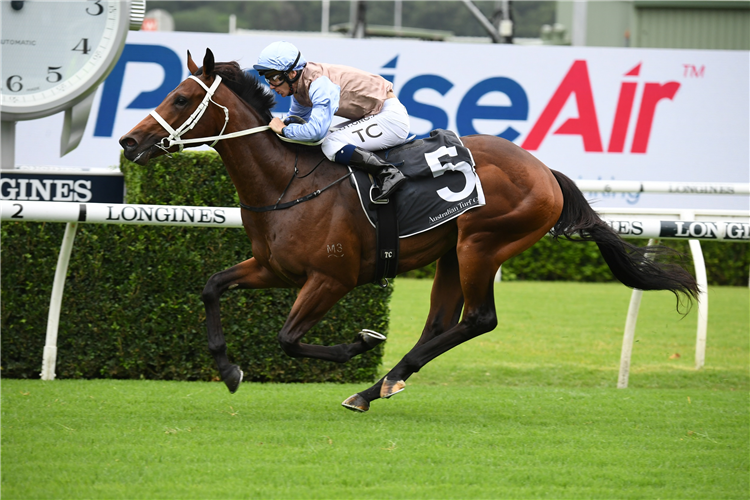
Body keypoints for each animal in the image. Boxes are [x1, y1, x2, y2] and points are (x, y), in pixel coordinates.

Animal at [120, 48, 704, 412]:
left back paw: (375, 383)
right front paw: (227, 369)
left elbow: (288, 339)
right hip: (452, 252)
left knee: (479, 320)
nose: (128, 142)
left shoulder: (331, 279)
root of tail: (546, 172)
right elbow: (211, 286)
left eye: (179, 98)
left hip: (482, 245)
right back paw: (380, 385)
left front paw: (359, 343)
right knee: (441, 323)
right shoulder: (272, 268)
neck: (286, 183)